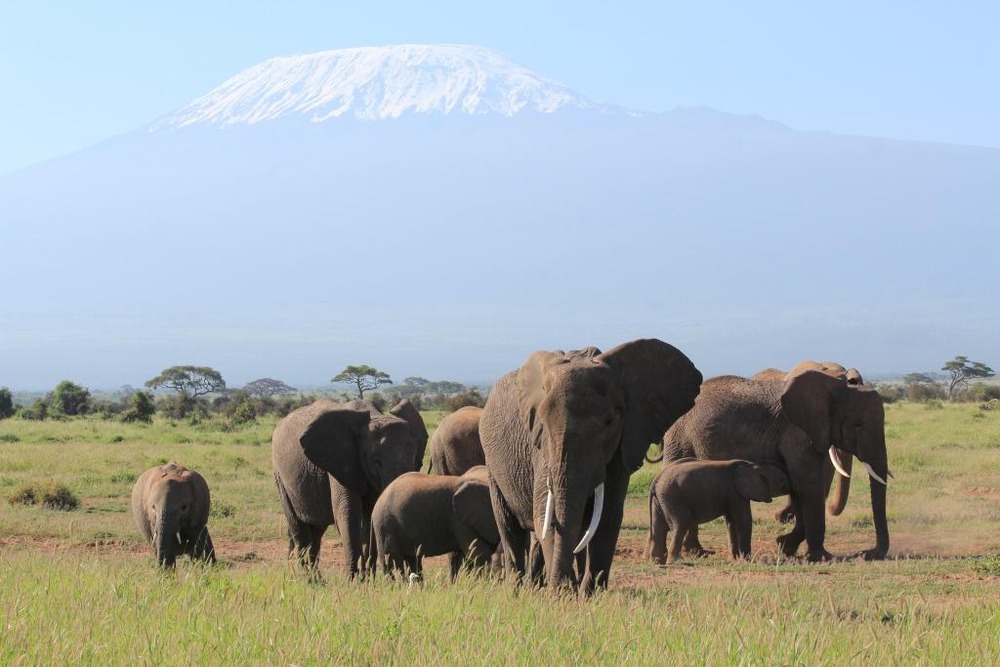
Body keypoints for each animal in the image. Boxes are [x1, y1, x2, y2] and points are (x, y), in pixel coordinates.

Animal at [272, 400, 428, 576]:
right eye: (376, 461)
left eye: (414, 458)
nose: (414, 575)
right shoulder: (340, 463)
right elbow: (347, 513)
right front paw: (356, 579)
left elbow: (370, 516)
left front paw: (368, 578)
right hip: (280, 477)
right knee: (299, 530)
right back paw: (309, 579)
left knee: (316, 532)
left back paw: (319, 580)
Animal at [478, 340, 700, 596]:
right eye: (543, 420)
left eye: (609, 422)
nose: (563, 586)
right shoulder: (542, 449)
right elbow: (544, 511)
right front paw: (563, 593)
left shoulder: (621, 445)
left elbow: (608, 517)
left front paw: (589, 594)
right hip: (492, 464)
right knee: (509, 526)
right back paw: (518, 588)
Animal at [648, 460, 788, 564]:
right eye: (782, 479)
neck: (752, 465)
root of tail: (657, 479)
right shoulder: (735, 492)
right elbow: (743, 520)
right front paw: (748, 561)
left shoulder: (730, 494)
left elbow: (731, 523)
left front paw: (734, 559)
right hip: (673, 498)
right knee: (680, 526)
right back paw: (675, 562)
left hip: (661, 499)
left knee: (658, 528)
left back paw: (657, 562)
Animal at [664, 370, 892, 564]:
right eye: (858, 425)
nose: (866, 553)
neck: (836, 388)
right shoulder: (797, 432)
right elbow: (807, 484)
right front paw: (822, 557)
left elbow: (799, 488)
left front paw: (786, 546)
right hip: (680, 437)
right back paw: (695, 552)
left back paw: (697, 552)